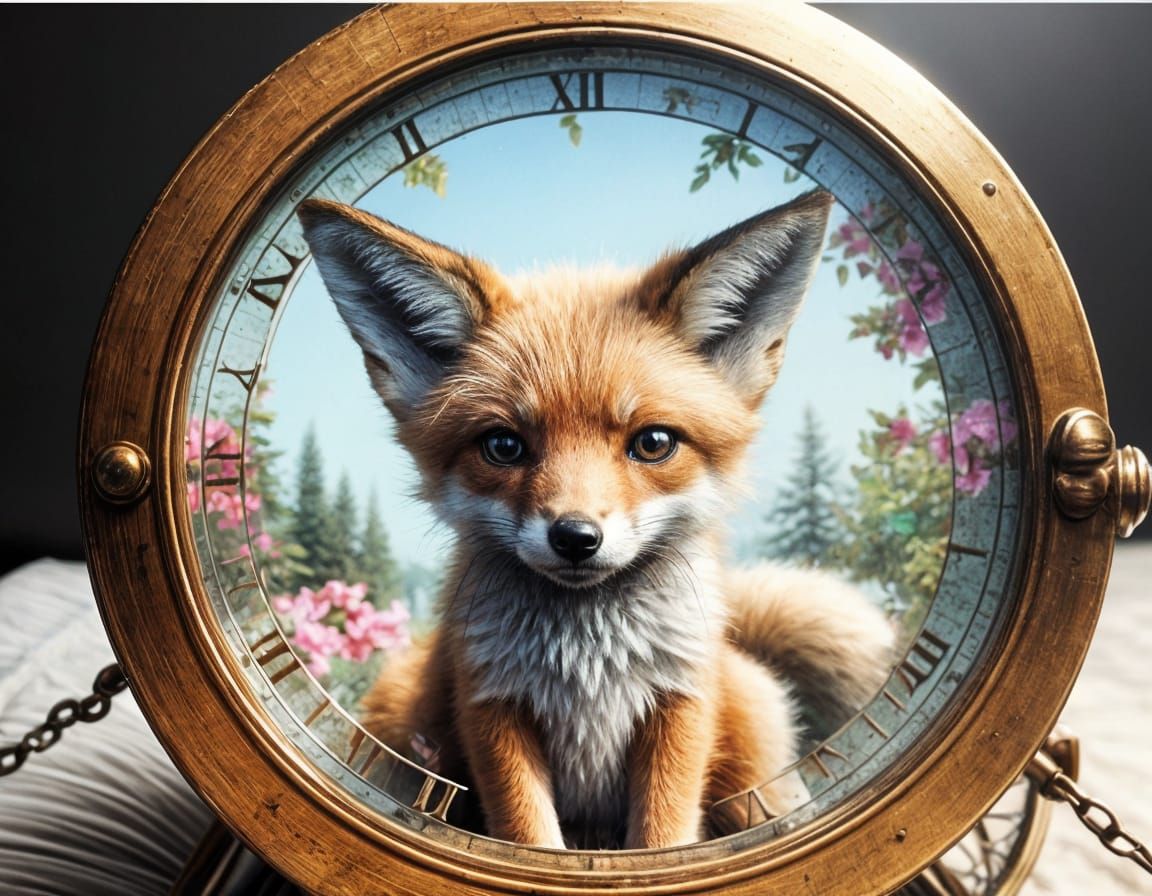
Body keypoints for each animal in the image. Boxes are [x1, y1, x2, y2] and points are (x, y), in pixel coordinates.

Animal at [297, 189, 895, 850]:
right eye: (503, 445)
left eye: (653, 443)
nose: (576, 537)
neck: (590, 667)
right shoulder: (491, 704)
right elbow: (532, 838)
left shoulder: (680, 704)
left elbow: (661, 841)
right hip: (397, 723)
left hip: (753, 784)